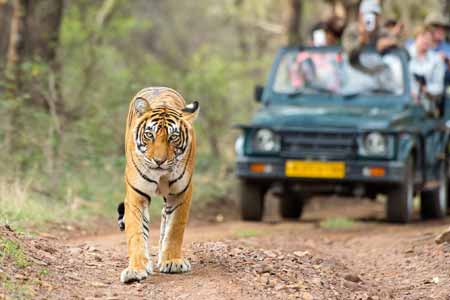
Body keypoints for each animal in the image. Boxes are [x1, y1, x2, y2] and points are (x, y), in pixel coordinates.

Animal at [119, 86, 199, 284]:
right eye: (150, 135)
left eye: (173, 137)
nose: (159, 161)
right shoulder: (136, 195)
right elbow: (136, 233)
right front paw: (136, 269)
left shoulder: (181, 193)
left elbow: (175, 228)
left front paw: (172, 261)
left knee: (165, 218)